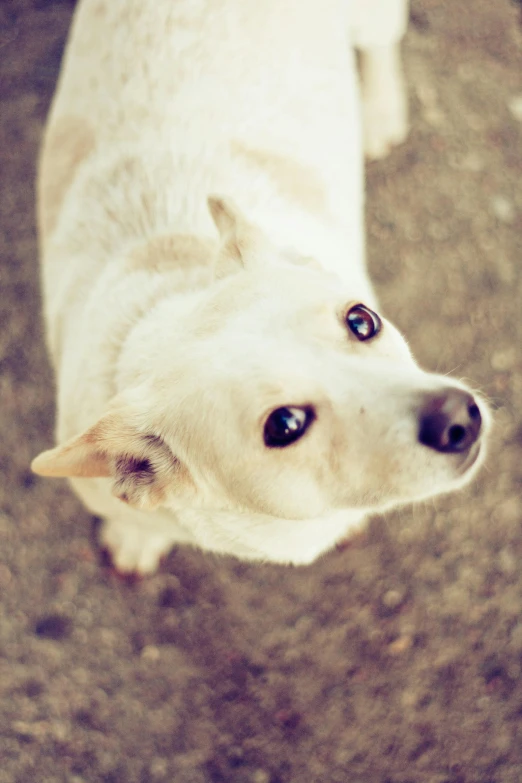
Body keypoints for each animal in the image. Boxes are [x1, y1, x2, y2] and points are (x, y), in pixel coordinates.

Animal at [31, 0, 488, 576]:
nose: (460, 416)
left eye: (362, 320)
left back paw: (380, 110)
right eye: (285, 425)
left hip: (369, 19)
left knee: (382, 41)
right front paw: (135, 538)